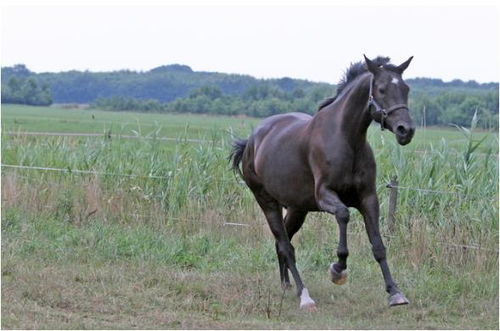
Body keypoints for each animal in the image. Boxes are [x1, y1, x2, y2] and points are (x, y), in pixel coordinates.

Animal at [229, 54, 414, 312]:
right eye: (381, 89)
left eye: (406, 88)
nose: (405, 130)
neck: (347, 139)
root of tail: (251, 142)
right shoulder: (325, 195)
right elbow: (344, 216)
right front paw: (338, 270)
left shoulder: (368, 198)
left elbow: (378, 245)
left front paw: (395, 293)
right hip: (267, 203)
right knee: (286, 246)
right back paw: (304, 296)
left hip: (297, 209)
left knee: (283, 243)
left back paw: (286, 285)